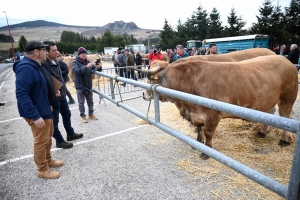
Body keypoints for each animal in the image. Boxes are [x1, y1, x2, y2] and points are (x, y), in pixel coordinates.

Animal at [142, 55, 298, 159]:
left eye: (151, 79)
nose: (143, 94)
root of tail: (284, 59)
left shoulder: (212, 114)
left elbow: (208, 132)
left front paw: (206, 151)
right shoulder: (197, 115)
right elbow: (199, 129)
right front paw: (197, 142)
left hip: (287, 98)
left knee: (286, 116)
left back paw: (285, 139)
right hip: (268, 100)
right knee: (272, 113)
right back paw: (263, 132)